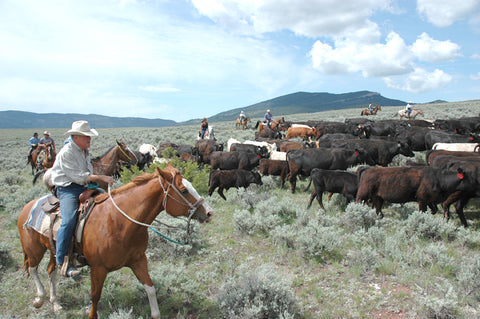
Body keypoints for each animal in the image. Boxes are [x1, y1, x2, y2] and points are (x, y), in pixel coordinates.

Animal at [18, 164, 214, 318]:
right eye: (183, 190)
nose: (209, 212)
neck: (119, 221)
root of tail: (28, 206)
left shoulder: (138, 260)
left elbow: (150, 288)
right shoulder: (98, 268)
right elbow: (95, 297)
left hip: (53, 250)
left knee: (51, 270)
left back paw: (56, 304)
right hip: (34, 250)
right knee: (34, 269)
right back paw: (39, 298)